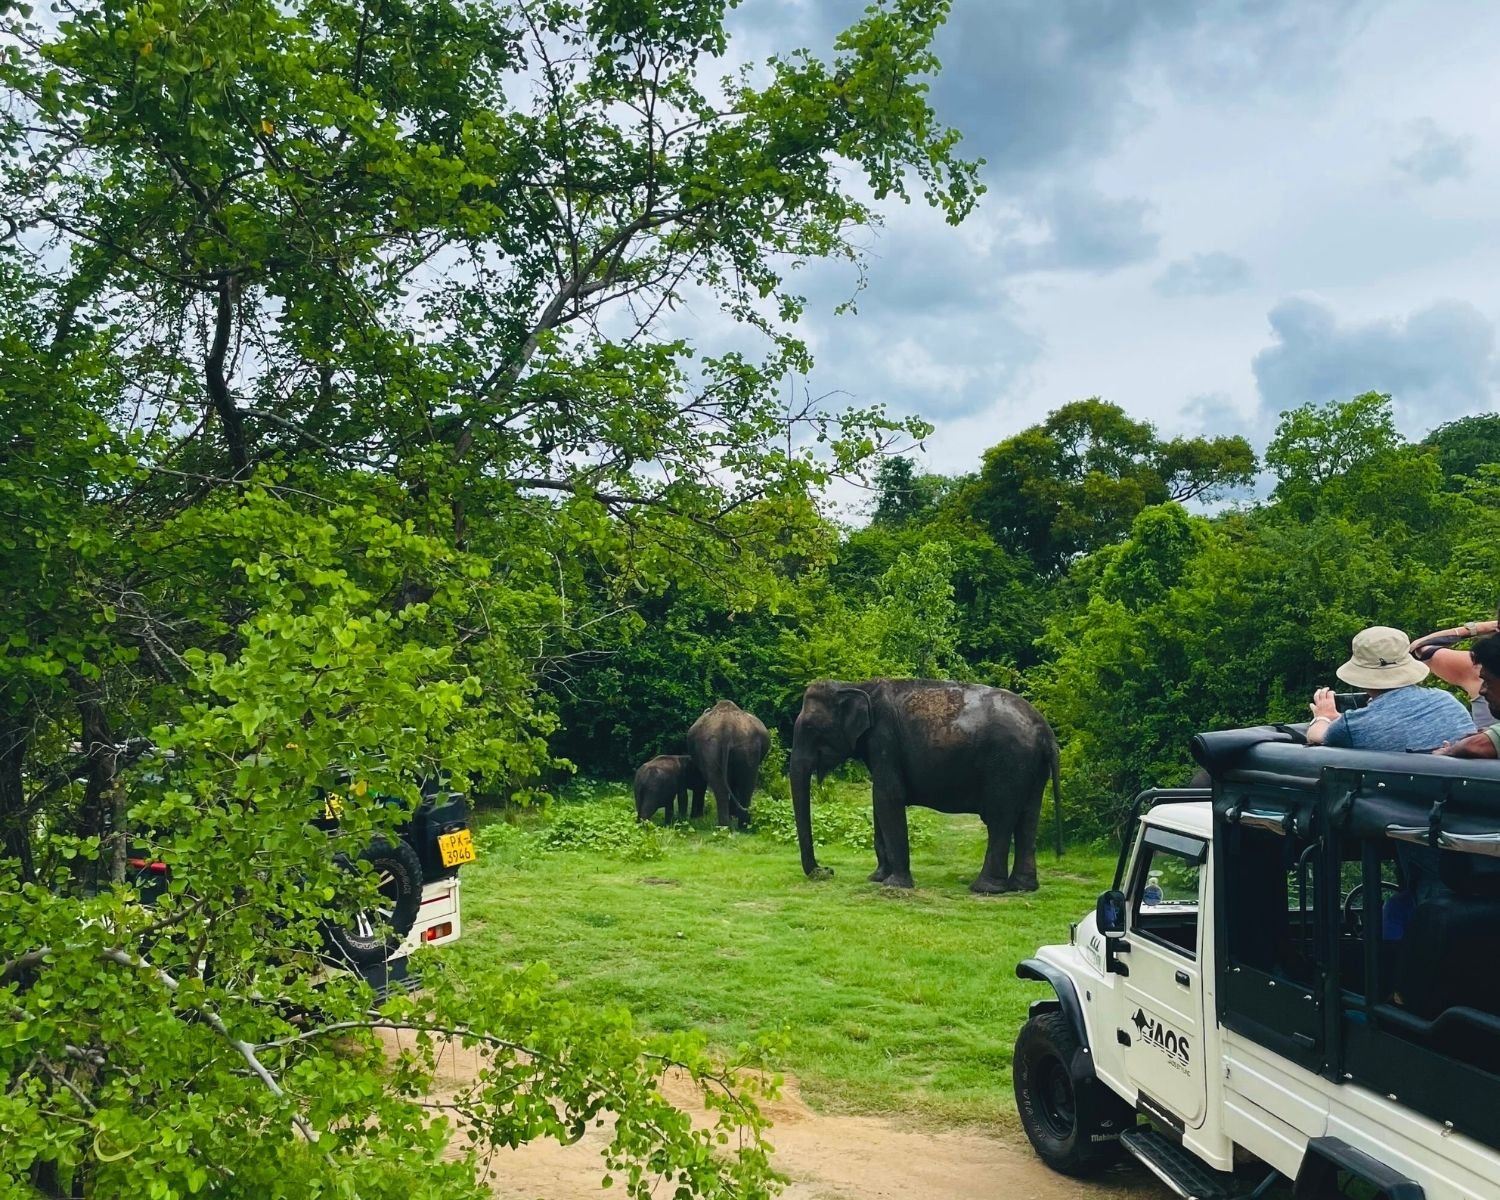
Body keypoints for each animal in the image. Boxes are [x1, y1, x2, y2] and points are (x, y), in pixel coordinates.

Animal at [685, 700, 770, 829]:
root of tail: (727, 728)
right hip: (745, 747)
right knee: (745, 785)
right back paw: (738, 826)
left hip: (718, 746)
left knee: (723, 785)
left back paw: (730, 827)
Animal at [789, 678, 1062, 893]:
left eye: (811, 728)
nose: (827, 870)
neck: (856, 685)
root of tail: (1045, 732)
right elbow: (878, 802)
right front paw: (876, 878)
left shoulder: (885, 739)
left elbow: (887, 797)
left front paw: (895, 885)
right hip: (1032, 769)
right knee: (1028, 818)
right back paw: (1023, 887)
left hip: (1007, 763)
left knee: (1000, 820)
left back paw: (984, 888)